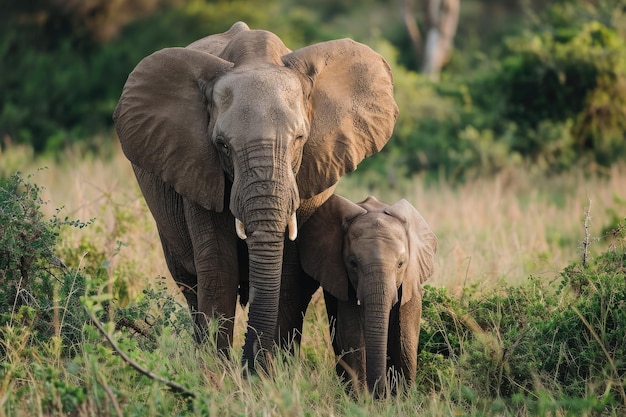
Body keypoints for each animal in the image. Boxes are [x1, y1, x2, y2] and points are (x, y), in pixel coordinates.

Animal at [111, 22, 394, 368]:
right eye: (222, 145)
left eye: (300, 139)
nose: (248, 366)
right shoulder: (198, 169)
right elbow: (218, 268)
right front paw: (217, 375)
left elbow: (288, 274)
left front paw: (273, 373)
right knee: (190, 283)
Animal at [296, 193, 434, 394]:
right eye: (353, 263)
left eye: (400, 264)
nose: (381, 393)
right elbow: (351, 331)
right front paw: (361, 397)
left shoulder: (411, 280)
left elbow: (406, 335)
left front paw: (406, 396)